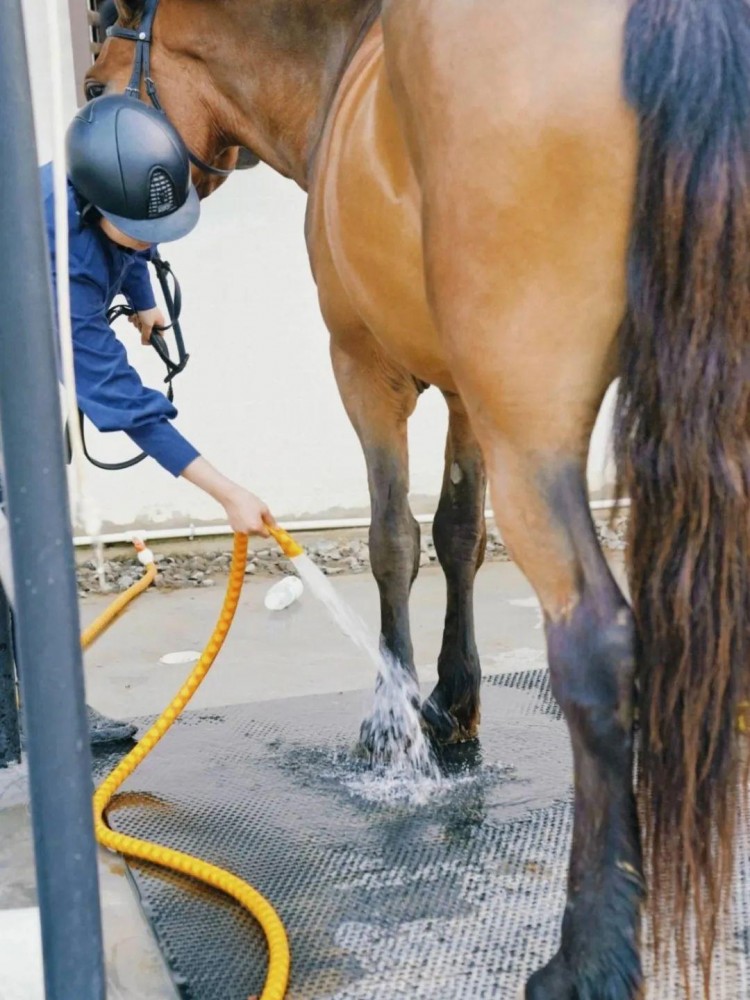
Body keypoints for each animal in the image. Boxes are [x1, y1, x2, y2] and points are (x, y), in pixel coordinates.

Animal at [89, 3, 750, 996]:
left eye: (94, 87)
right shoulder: (467, 396)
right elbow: (459, 532)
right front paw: (453, 703)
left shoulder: (368, 370)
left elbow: (393, 538)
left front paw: (392, 721)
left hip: (532, 419)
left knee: (596, 643)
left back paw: (589, 955)